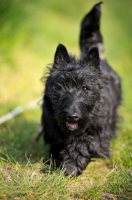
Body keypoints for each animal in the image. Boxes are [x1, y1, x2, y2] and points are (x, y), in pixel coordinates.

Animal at [39, 2, 121, 176]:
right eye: (62, 86)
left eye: (85, 88)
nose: (72, 116)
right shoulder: (52, 127)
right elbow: (57, 143)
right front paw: (56, 161)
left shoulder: (97, 133)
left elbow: (83, 144)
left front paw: (71, 166)